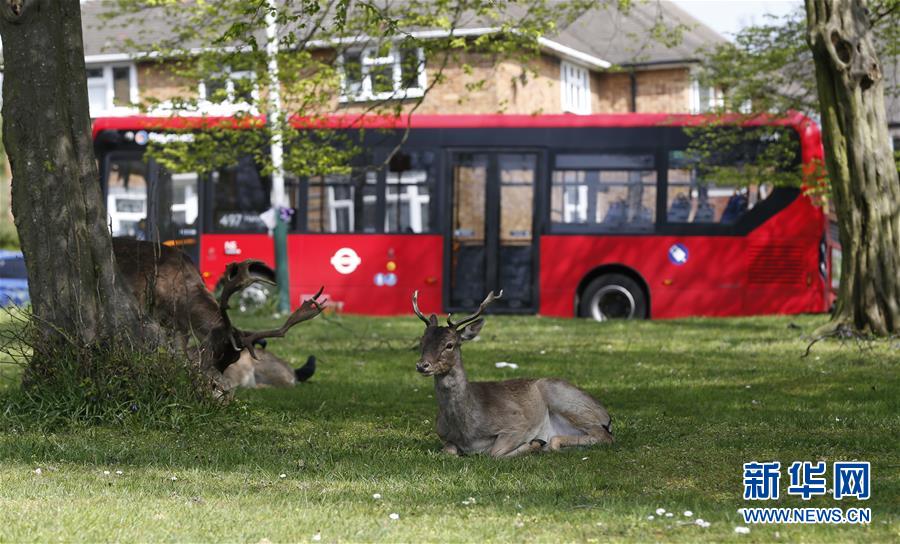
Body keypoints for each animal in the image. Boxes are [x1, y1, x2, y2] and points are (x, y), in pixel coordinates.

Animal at [412, 290, 613, 458]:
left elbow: (494, 453)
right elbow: (448, 451)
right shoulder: (443, 435)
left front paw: (534, 443)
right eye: (422, 341)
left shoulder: (517, 424)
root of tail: (607, 416)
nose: (422, 365)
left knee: (603, 435)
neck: (467, 430)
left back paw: (547, 444)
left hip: (566, 400)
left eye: (449, 345)